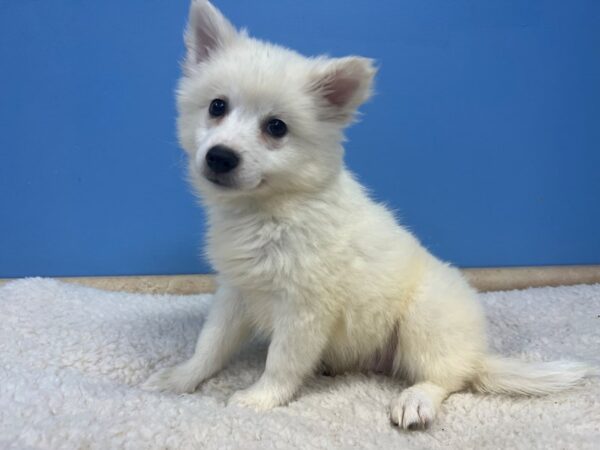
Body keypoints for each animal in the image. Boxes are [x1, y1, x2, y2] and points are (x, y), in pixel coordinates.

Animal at [144, 0, 592, 428]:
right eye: (217, 106)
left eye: (276, 128)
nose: (220, 157)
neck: (271, 209)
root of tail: (477, 356)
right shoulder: (235, 291)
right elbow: (210, 343)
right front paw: (180, 378)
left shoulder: (304, 307)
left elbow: (281, 361)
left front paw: (258, 399)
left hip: (425, 318)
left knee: (447, 379)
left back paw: (415, 401)